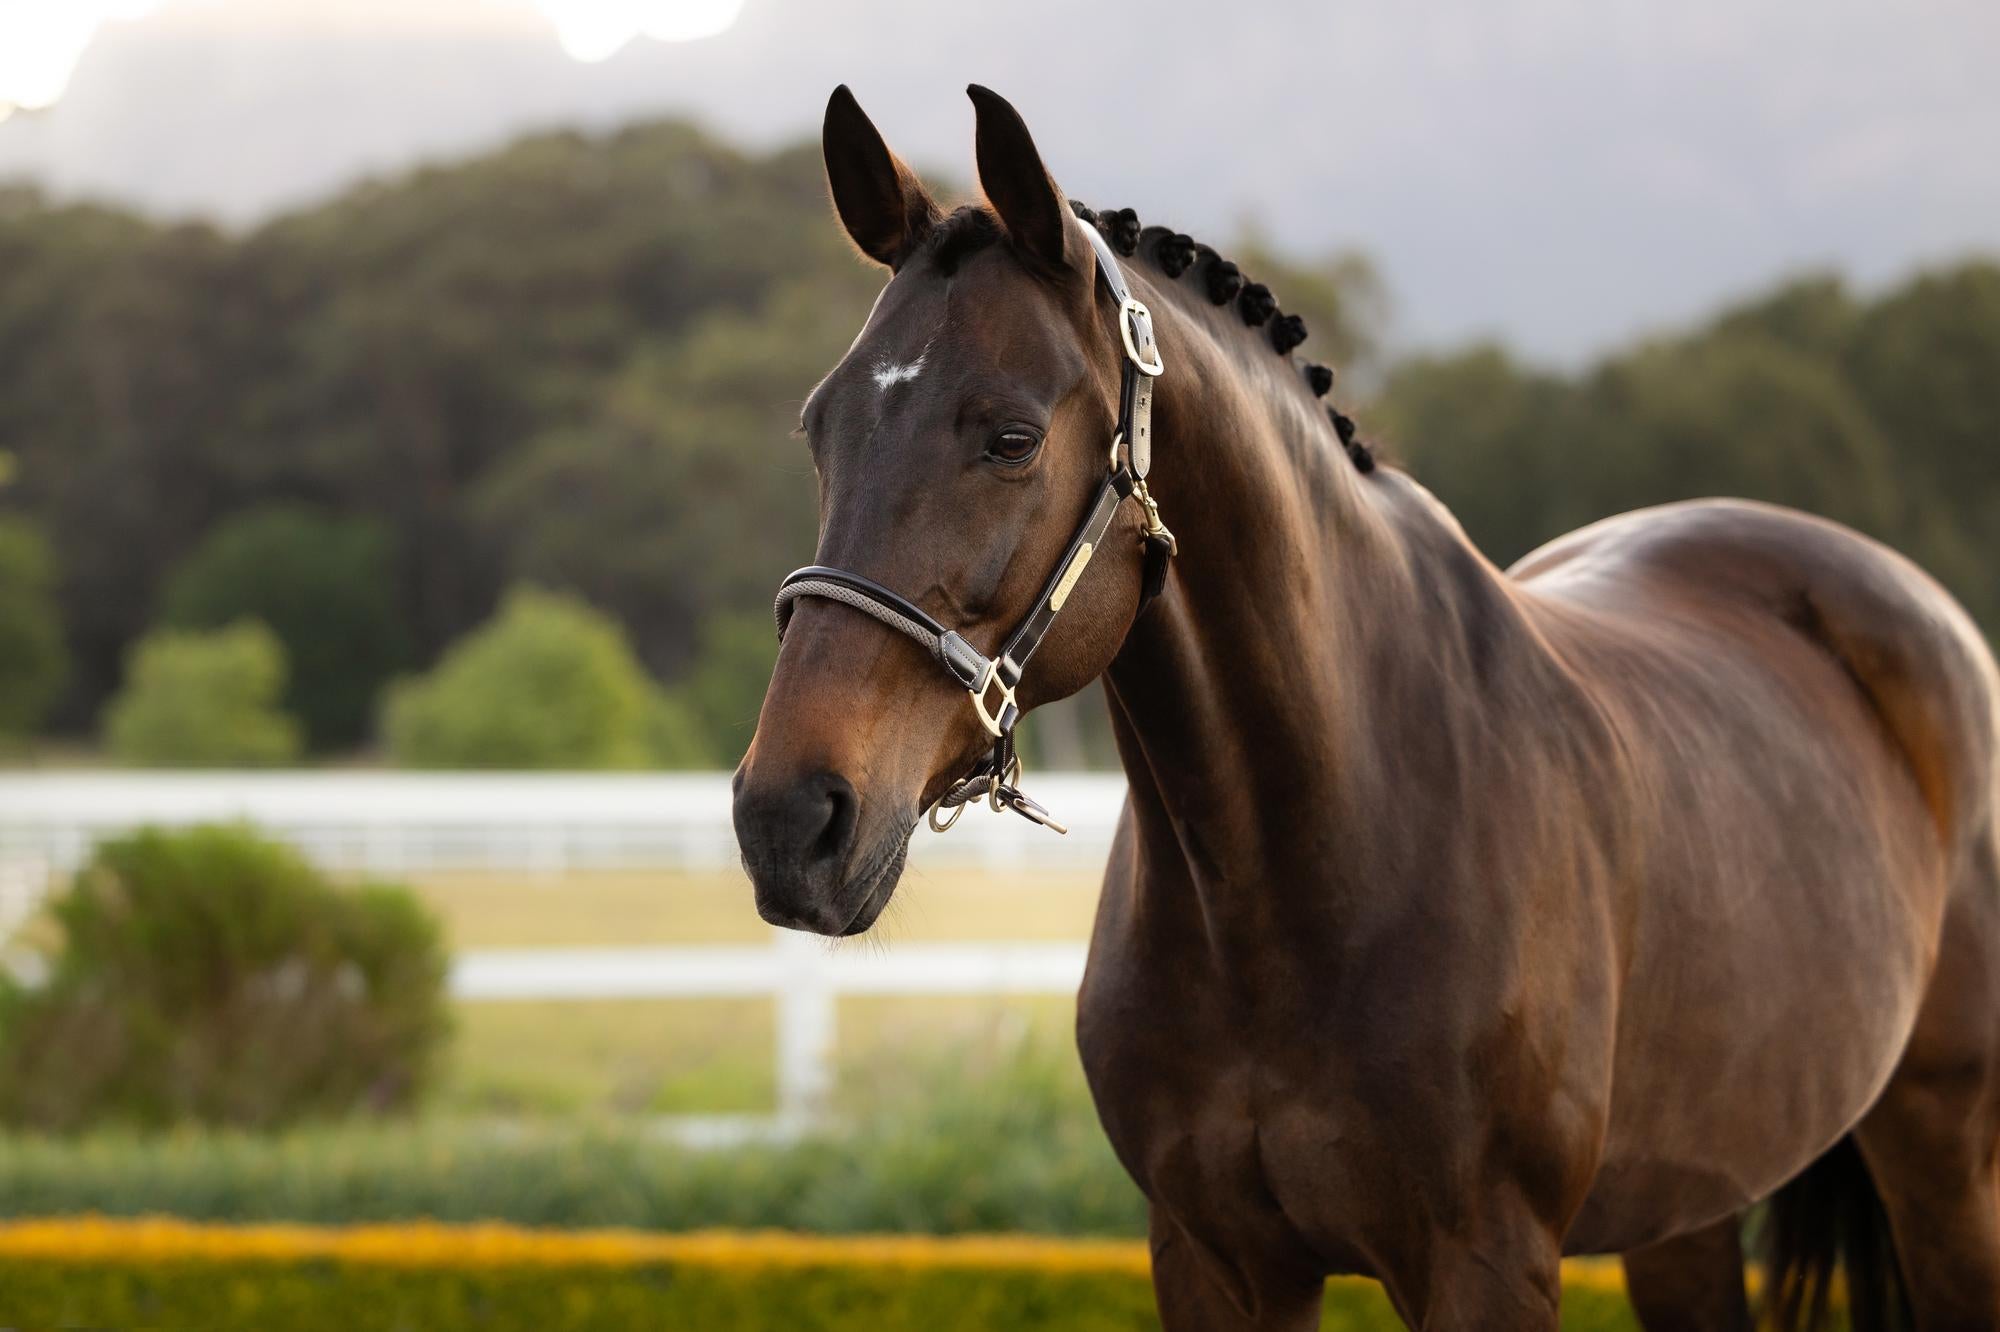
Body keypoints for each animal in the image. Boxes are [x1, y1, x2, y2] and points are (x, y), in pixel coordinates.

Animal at [731, 84, 2000, 1331]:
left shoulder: (1484, 1263)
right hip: (1686, 1205)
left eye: (1009, 438)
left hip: (1944, 1162)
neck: (1307, 862)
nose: (788, 820)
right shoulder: (1212, 1260)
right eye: (818, 427)